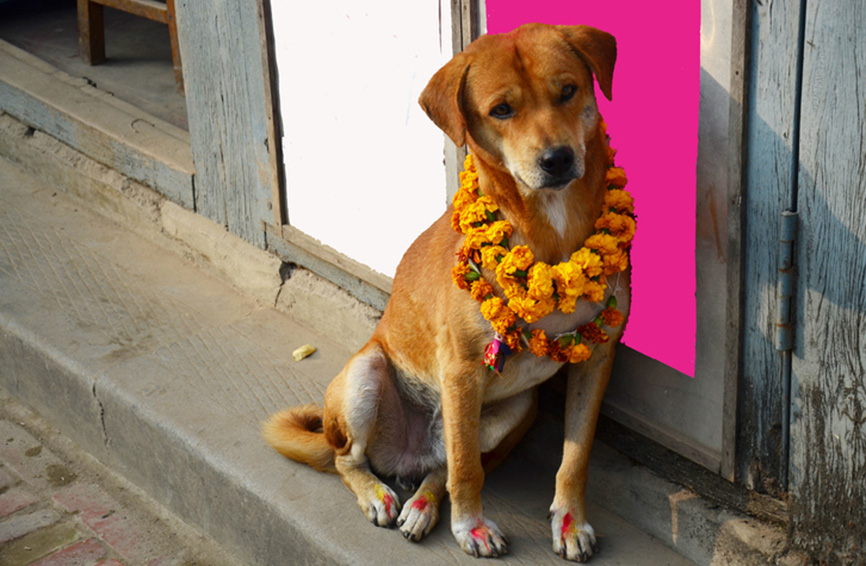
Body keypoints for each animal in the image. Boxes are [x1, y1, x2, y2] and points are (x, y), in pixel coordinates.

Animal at [264, 23, 628, 564]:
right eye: (502, 109)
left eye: (568, 90)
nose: (558, 159)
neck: (552, 229)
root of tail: (406, 454)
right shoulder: (461, 370)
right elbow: (467, 470)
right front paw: (469, 527)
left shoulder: (597, 357)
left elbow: (575, 456)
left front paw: (570, 521)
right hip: (365, 377)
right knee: (354, 459)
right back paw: (379, 494)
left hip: (514, 410)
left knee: (441, 466)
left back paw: (422, 503)